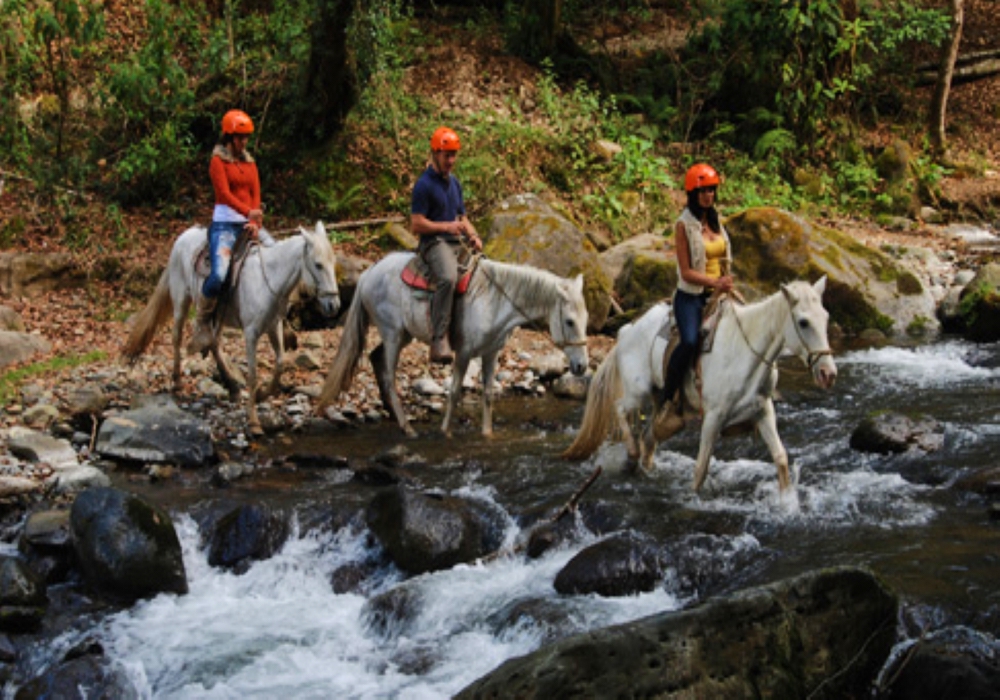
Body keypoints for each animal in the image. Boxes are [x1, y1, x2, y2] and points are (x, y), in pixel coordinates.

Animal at [119, 221, 340, 434]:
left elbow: (279, 364)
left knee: (214, 343)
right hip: (181, 301)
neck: (268, 279)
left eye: (333, 263)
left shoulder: (273, 327)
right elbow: (253, 375)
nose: (334, 305)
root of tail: (183, 236)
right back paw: (178, 382)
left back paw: (232, 387)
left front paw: (262, 394)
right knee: (177, 337)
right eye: (318, 265)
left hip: (219, 316)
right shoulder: (251, 334)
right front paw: (253, 421)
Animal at [316, 252, 588, 438]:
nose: (582, 367)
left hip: (403, 335)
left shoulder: (491, 353)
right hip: (392, 333)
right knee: (388, 376)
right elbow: (455, 391)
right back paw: (407, 427)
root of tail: (368, 274)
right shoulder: (465, 352)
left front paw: (487, 434)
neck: (495, 300)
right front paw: (445, 431)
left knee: (375, 357)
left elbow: (488, 393)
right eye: (569, 321)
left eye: (586, 319)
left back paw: (395, 417)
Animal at [564, 278, 836, 492]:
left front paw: (787, 502)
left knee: (649, 437)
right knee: (619, 409)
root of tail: (627, 331)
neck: (745, 353)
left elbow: (780, 458)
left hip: (661, 400)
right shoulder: (713, 417)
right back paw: (631, 455)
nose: (828, 374)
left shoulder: (763, 410)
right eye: (803, 322)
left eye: (825, 317)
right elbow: (701, 469)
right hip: (637, 391)